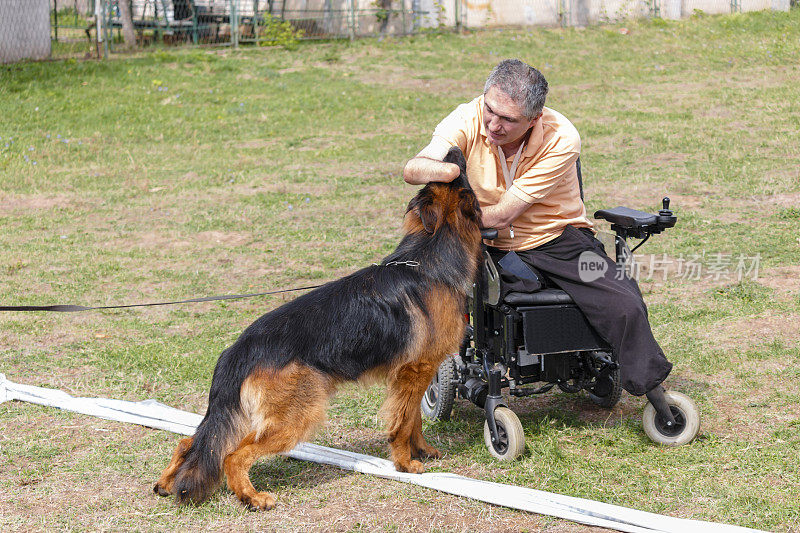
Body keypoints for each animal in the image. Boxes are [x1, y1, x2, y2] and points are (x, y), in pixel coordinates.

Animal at [154, 145, 484, 508]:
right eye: (458, 172)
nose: (452, 148)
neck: (429, 255)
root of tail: (240, 349)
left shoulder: (411, 375)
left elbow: (414, 420)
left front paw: (422, 450)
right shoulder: (416, 371)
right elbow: (404, 422)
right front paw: (405, 463)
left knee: (192, 443)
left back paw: (166, 483)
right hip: (298, 415)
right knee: (232, 455)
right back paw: (253, 497)